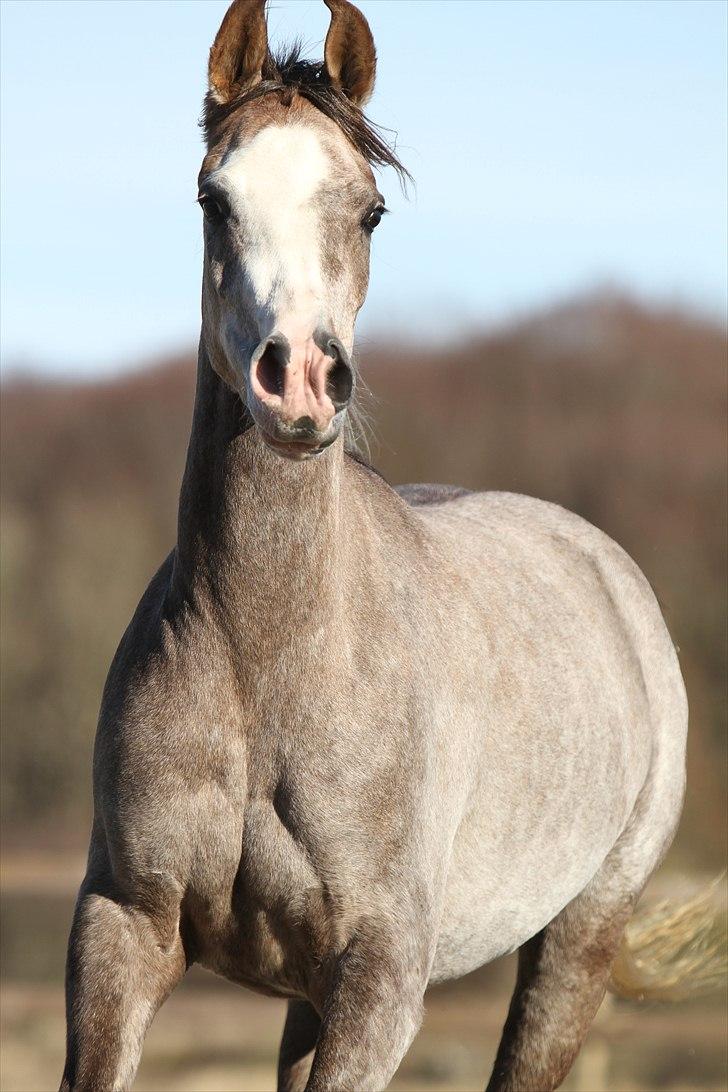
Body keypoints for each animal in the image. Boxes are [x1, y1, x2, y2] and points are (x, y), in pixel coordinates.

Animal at [61, 2, 689, 1092]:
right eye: (213, 197)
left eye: (368, 212)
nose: (300, 381)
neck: (269, 659)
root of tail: (608, 569)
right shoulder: (124, 926)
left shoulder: (381, 974)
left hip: (578, 936)